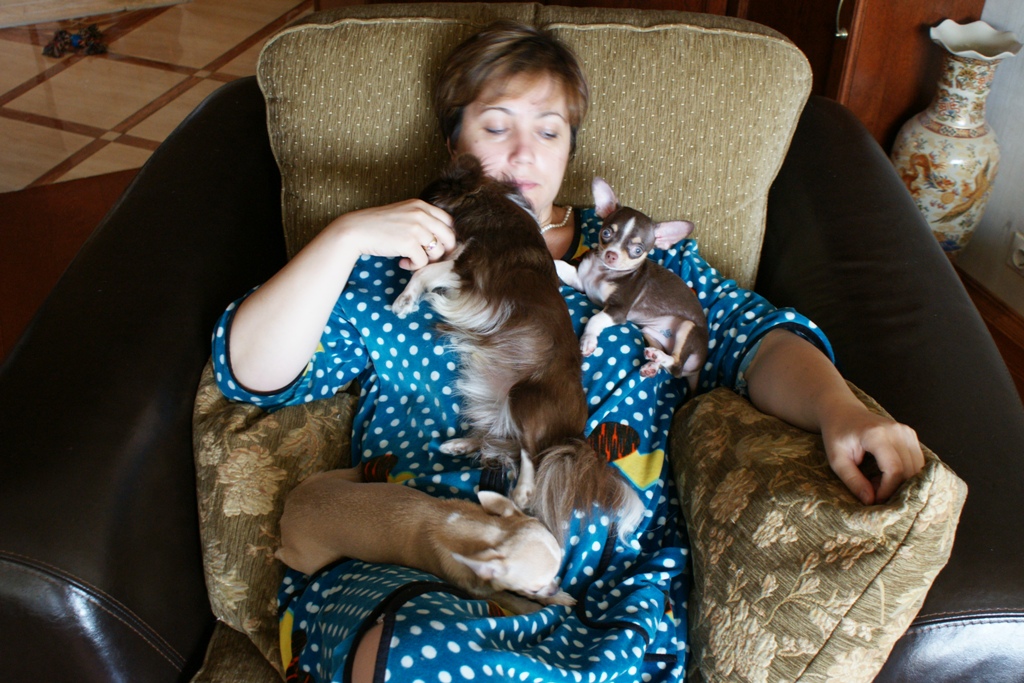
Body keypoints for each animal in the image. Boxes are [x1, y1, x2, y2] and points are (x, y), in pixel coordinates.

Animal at [275, 467, 574, 613]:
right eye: (534, 587)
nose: (552, 589)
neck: (484, 530)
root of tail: (289, 504)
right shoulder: (482, 589)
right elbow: (513, 598)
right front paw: (539, 605)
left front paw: (560, 596)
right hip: (311, 560)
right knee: (285, 555)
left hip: (330, 477)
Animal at [392, 154, 644, 543]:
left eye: (427, 193)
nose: (406, 203)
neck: (490, 197)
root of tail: (572, 436)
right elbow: (427, 273)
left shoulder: (468, 268)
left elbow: (424, 273)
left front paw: (404, 300)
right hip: (498, 402)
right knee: (502, 438)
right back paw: (461, 444)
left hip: (524, 397)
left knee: (531, 452)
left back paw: (524, 490)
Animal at [556, 177, 708, 391]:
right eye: (606, 233)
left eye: (637, 250)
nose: (611, 255)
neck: (602, 272)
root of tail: (699, 368)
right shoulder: (580, 281)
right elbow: (560, 264)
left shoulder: (617, 310)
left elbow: (594, 319)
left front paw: (588, 340)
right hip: (650, 332)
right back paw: (652, 364)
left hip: (688, 327)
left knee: (677, 366)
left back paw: (657, 357)